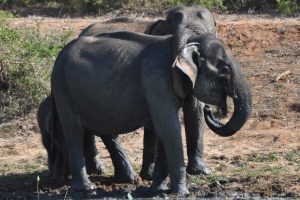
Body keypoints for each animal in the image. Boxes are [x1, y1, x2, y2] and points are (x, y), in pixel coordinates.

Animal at [51, 31, 251, 194]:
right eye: (225, 72)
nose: (210, 110)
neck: (180, 44)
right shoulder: (156, 81)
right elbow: (169, 128)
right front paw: (181, 193)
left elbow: (164, 131)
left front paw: (158, 190)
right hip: (62, 87)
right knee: (75, 130)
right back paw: (86, 188)